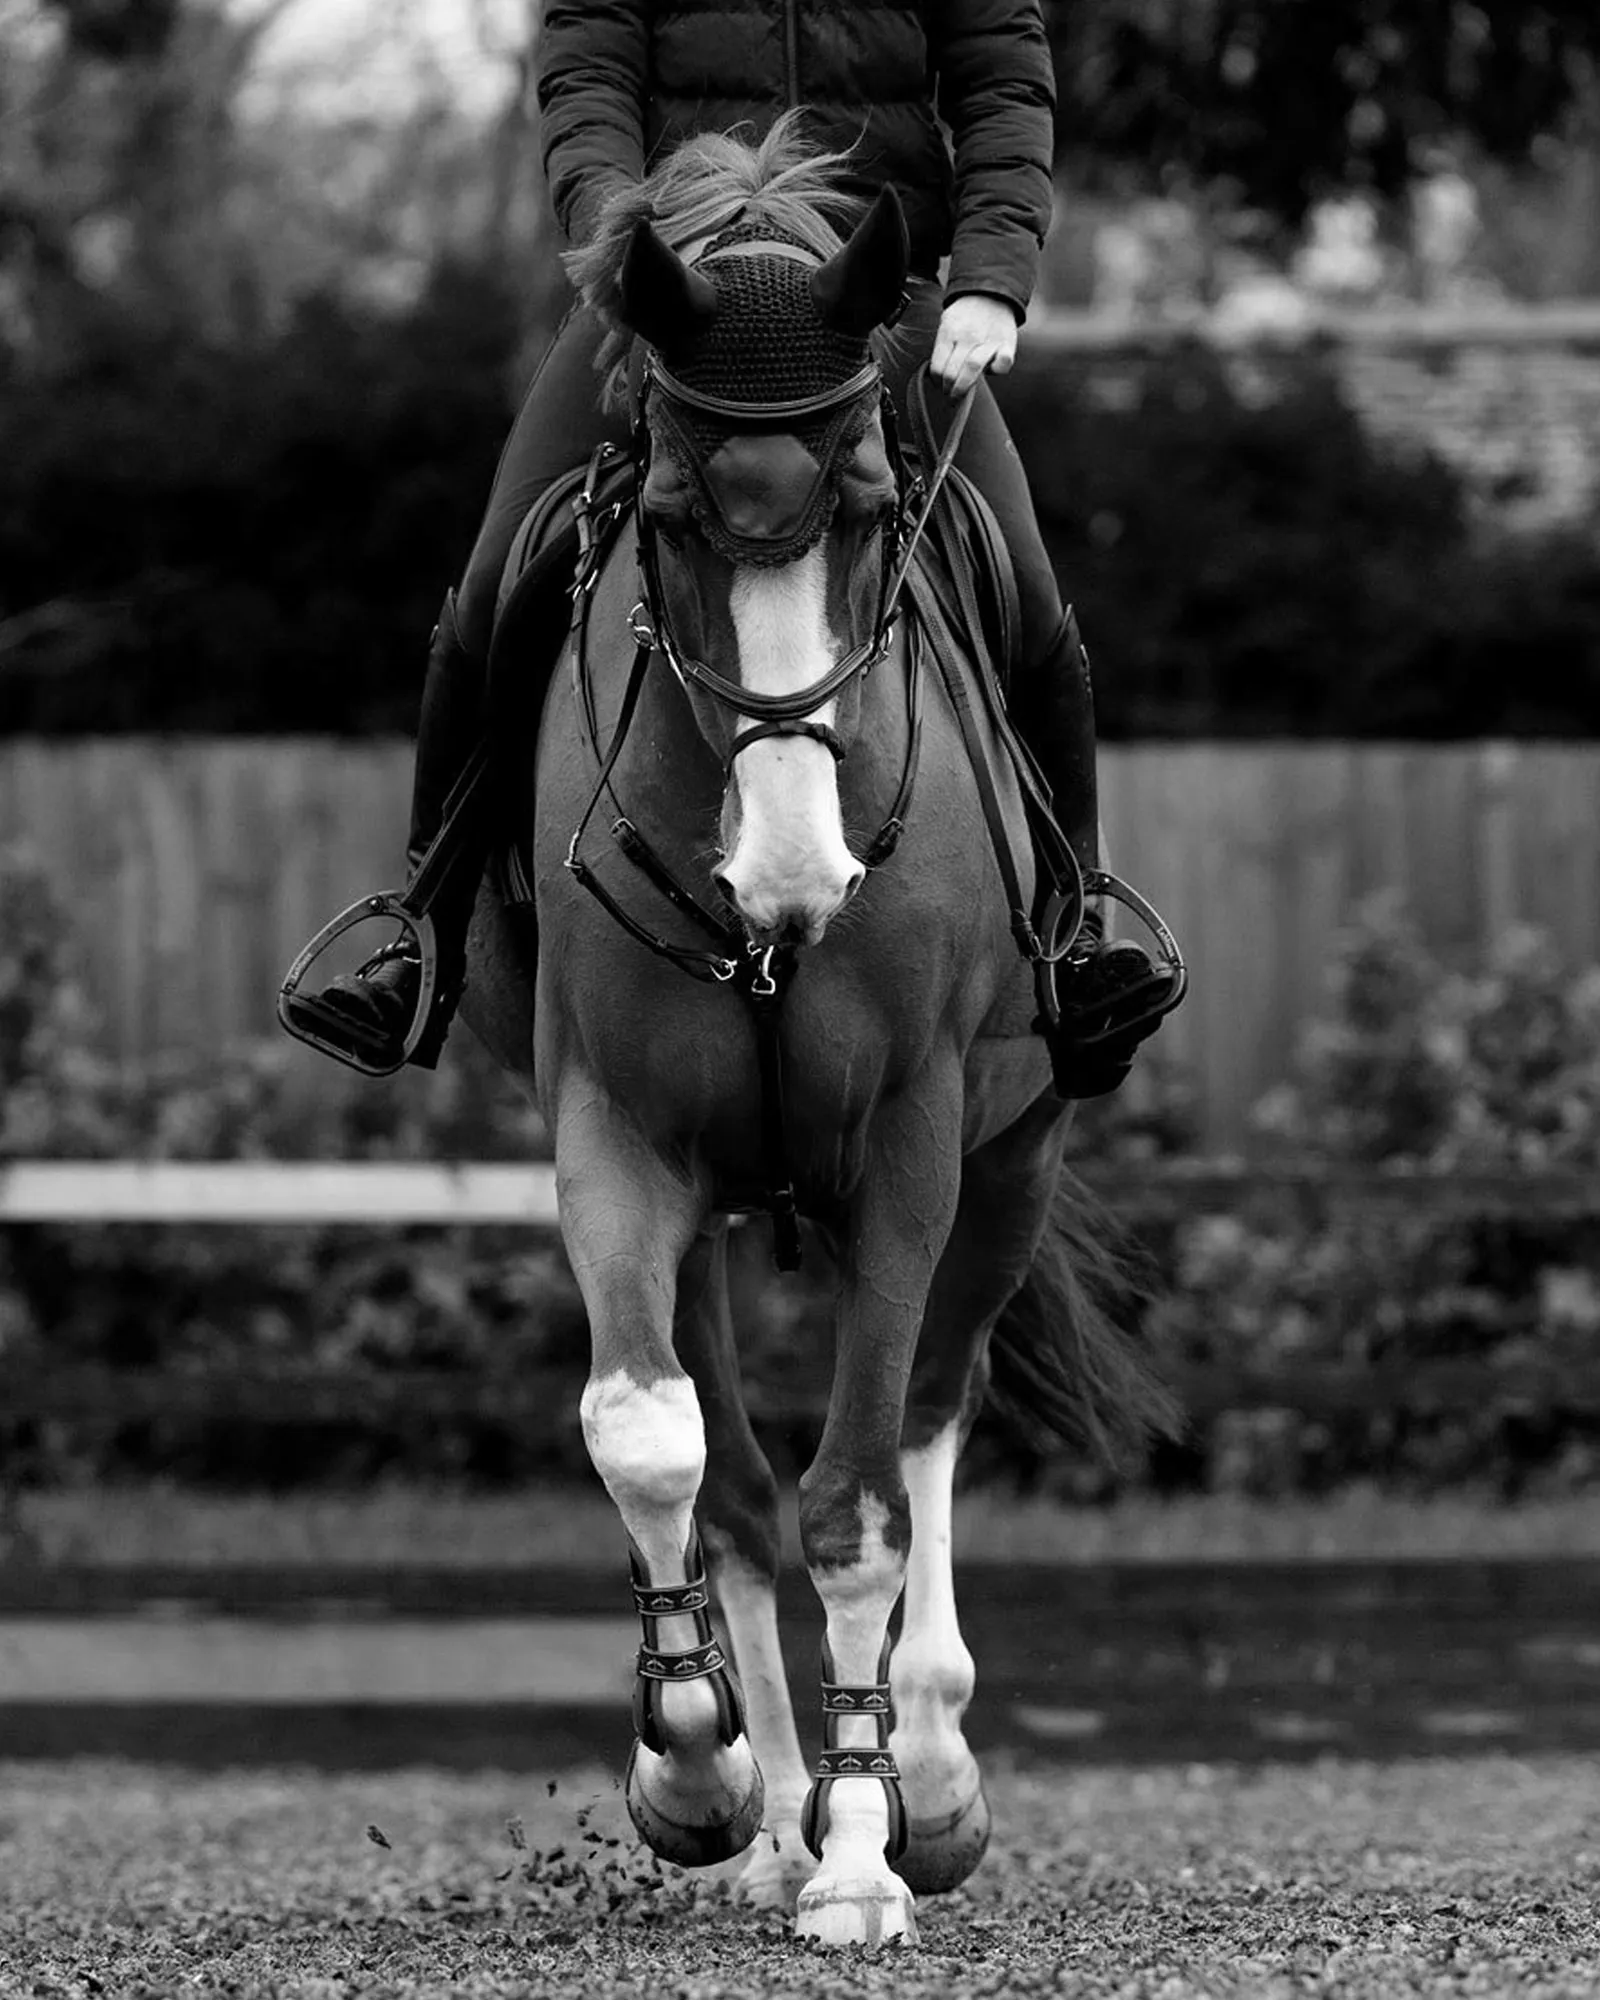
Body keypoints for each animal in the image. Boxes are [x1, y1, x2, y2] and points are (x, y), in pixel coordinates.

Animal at [459, 128, 1178, 1947]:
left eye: (867, 512)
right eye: (668, 520)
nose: (795, 880)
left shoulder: (909, 1153)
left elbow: (861, 1503)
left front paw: (865, 1856)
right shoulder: (616, 1136)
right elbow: (657, 1441)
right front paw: (699, 1772)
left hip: (1006, 1170)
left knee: (928, 1419)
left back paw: (923, 1777)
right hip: (724, 1204)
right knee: (733, 1475)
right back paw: (780, 1813)